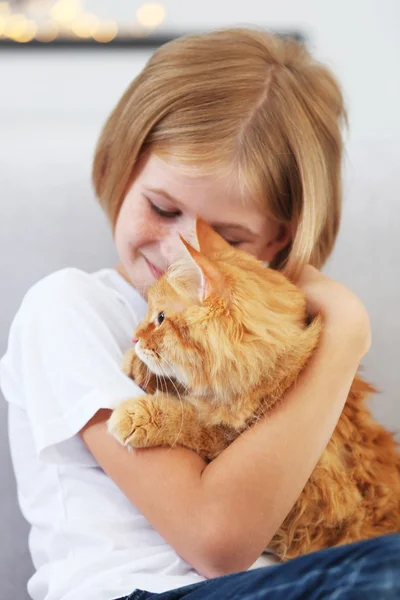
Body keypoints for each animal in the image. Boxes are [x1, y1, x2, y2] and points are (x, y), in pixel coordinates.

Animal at [108, 217, 400, 564]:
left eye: (161, 318)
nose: (134, 337)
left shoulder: (226, 439)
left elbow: (188, 419)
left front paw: (137, 415)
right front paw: (137, 365)